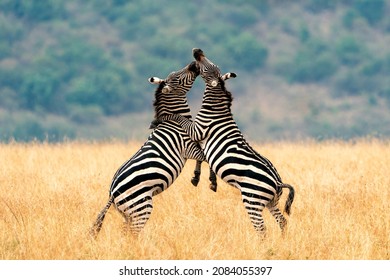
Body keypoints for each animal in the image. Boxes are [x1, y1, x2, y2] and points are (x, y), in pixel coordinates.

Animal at [90, 61, 216, 236]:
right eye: (178, 78)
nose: (193, 64)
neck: (175, 120)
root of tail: (112, 193)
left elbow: (203, 157)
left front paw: (196, 177)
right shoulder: (187, 146)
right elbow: (205, 156)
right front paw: (210, 180)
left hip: (128, 213)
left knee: (125, 233)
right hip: (141, 207)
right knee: (132, 234)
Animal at [158, 48, 296, 234]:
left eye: (207, 68)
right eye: (214, 64)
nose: (197, 52)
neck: (215, 109)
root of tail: (278, 182)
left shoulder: (197, 130)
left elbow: (180, 118)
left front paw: (164, 117)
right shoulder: (199, 137)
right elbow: (202, 157)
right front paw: (200, 178)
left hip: (252, 200)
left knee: (261, 228)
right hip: (271, 202)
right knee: (282, 221)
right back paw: (282, 239)